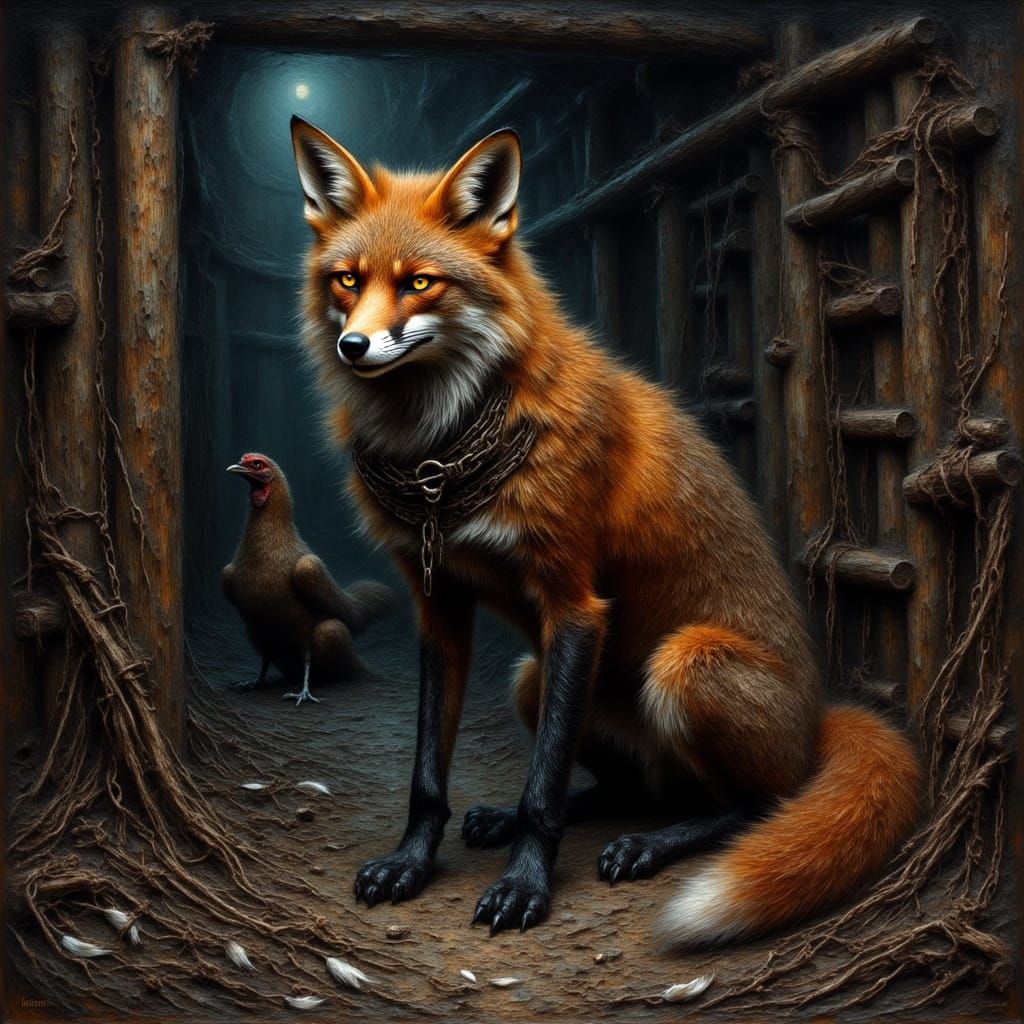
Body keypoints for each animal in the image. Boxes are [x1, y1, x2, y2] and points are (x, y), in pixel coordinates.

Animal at [289, 113, 921, 946]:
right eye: (348, 280)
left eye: (420, 282)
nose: (352, 347)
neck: (440, 461)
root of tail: (821, 717)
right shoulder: (441, 607)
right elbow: (432, 773)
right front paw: (412, 863)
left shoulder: (574, 606)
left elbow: (542, 790)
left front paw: (523, 886)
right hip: (531, 678)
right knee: (630, 789)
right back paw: (554, 818)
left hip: (685, 664)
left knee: (748, 806)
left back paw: (651, 845)